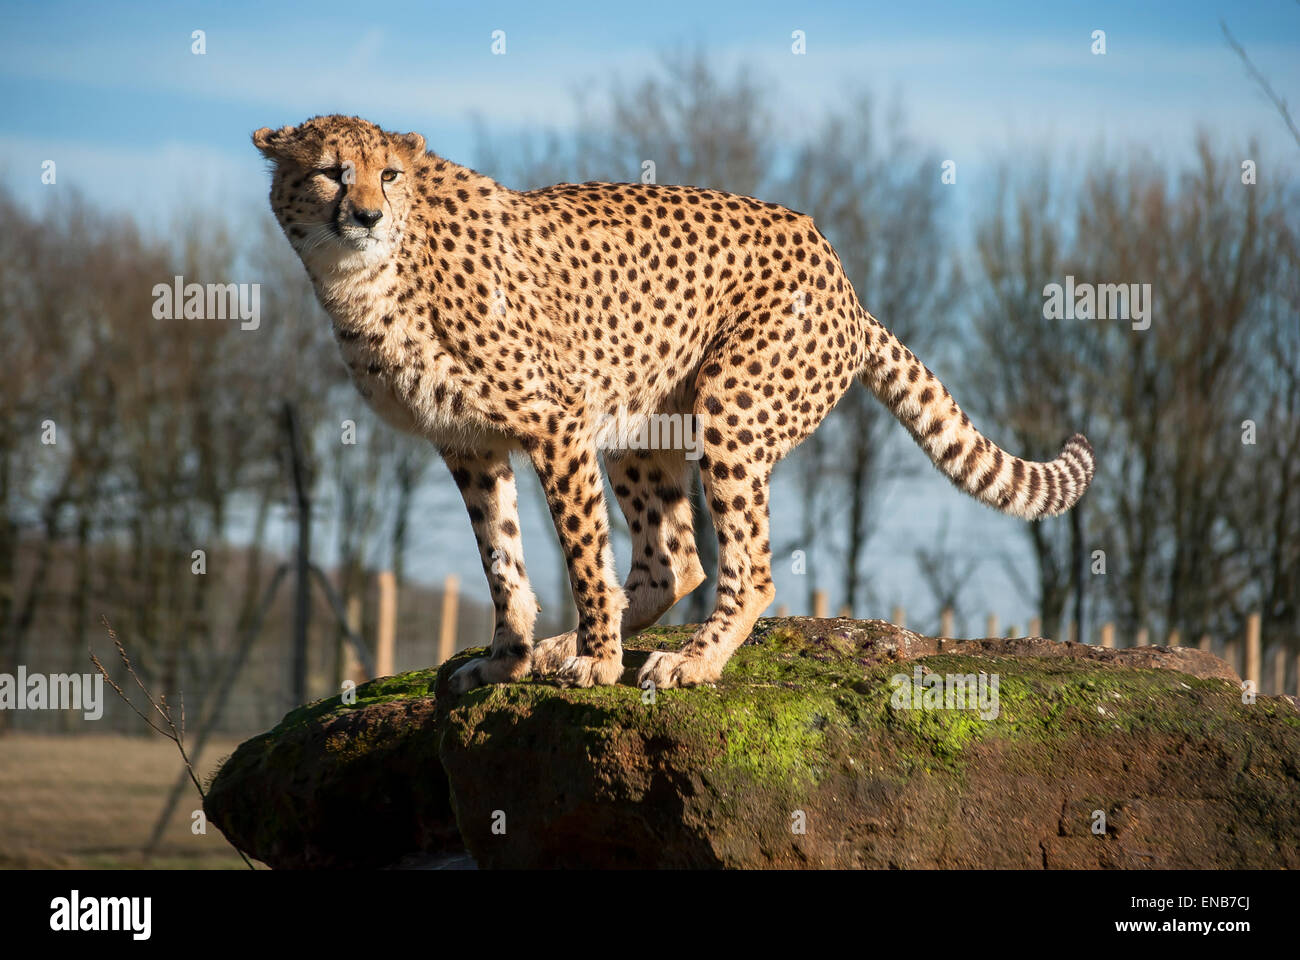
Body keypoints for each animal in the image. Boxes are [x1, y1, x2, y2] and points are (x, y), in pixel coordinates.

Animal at [253, 115, 1097, 692]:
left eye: (391, 175)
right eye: (331, 172)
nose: (366, 214)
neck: (366, 279)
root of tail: (844, 280)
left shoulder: (556, 423)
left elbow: (581, 552)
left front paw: (596, 662)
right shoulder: (469, 444)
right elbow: (502, 561)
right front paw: (509, 660)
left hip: (732, 405)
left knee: (747, 569)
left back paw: (689, 660)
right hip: (642, 425)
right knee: (677, 562)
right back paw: (576, 645)